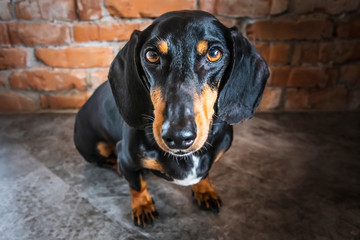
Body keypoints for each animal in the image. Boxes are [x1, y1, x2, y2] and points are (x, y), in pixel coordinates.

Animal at [74, 9, 268, 227]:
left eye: (214, 53)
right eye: (151, 55)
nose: (178, 137)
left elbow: (205, 174)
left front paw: (205, 190)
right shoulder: (126, 157)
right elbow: (136, 185)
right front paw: (142, 206)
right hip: (94, 146)